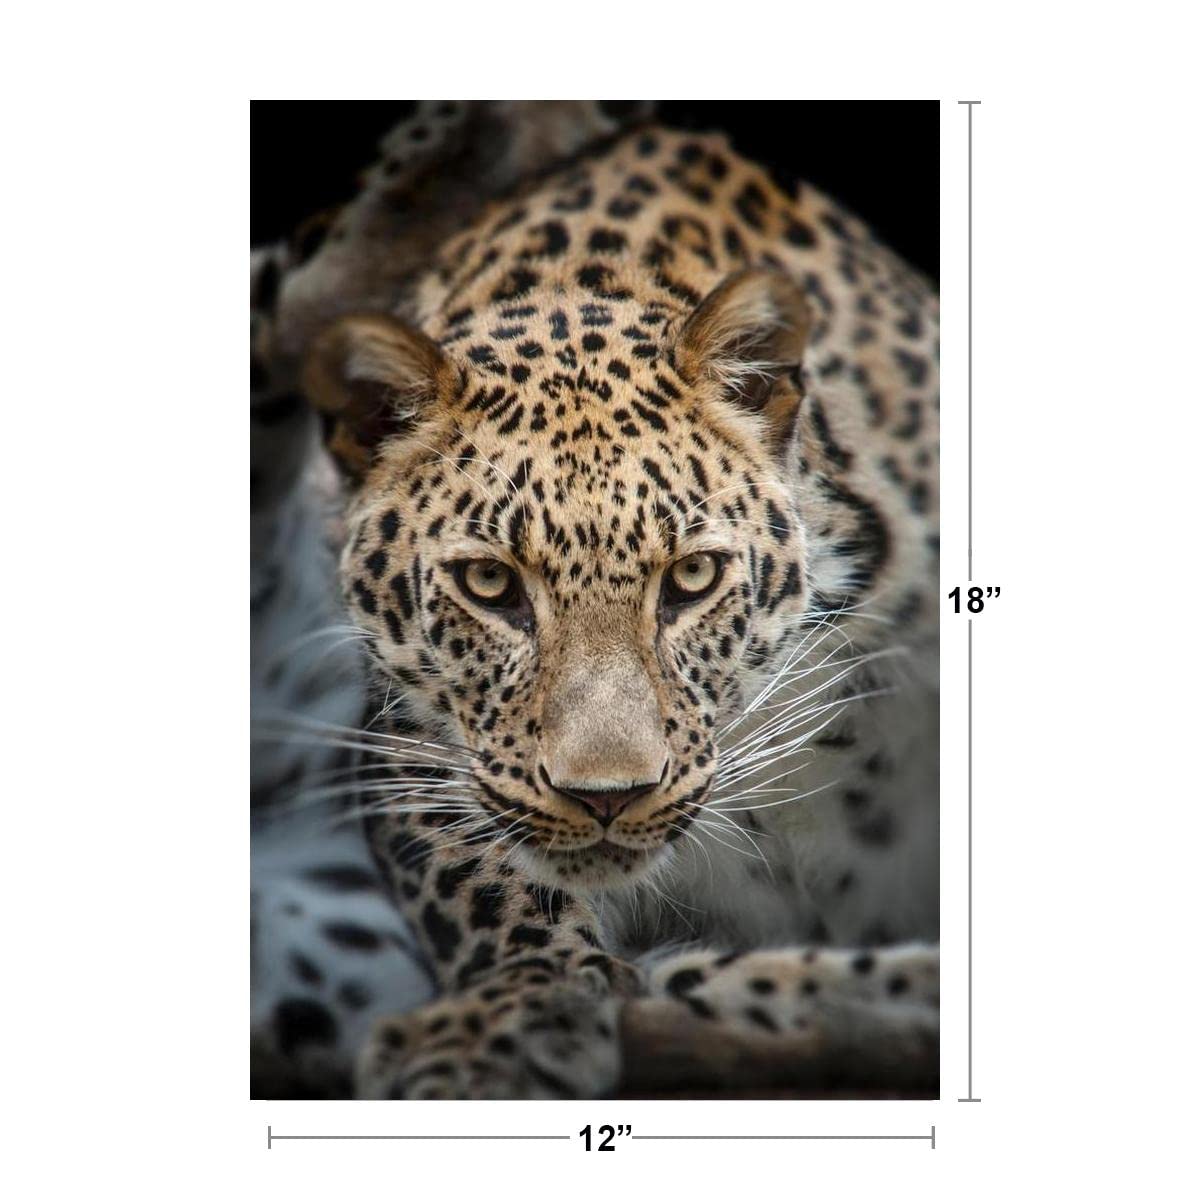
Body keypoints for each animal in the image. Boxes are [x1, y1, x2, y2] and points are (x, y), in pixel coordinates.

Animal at [253, 106, 939, 1099]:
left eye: (691, 578)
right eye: (490, 584)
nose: (607, 799)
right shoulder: (404, 746)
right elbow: (487, 881)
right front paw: (508, 1015)